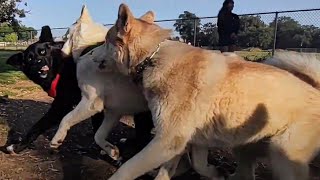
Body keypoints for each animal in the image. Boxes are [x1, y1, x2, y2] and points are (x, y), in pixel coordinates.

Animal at [4, 25, 153, 154]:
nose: (39, 62)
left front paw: (18, 146)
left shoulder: (62, 105)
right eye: (30, 59)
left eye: (43, 52)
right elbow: (97, 127)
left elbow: (38, 125)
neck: (61, 65)